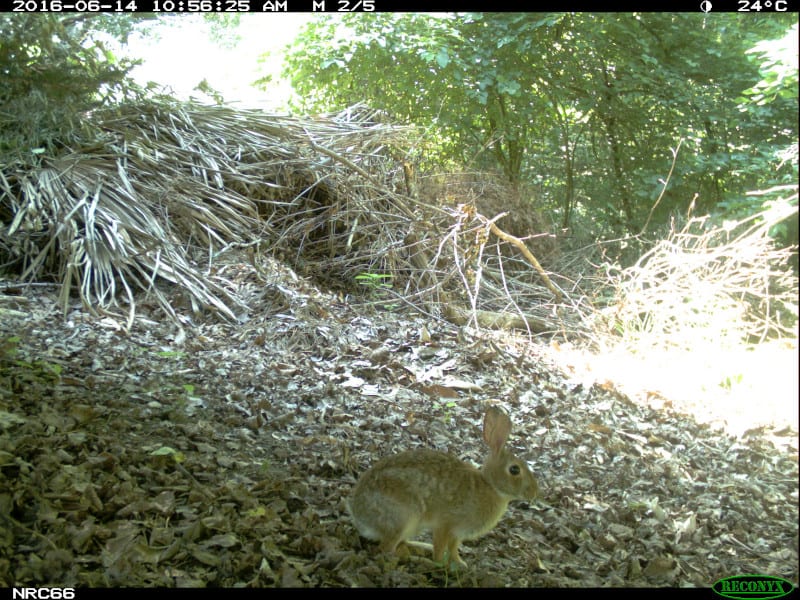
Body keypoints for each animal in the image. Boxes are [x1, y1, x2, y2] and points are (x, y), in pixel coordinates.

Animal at [346, 406, 536, 568]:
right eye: (514, 470)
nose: (534, 492)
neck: (490, 485)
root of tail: (359, 517)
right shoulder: (445, 524)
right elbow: (441, 547)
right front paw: (441, 564)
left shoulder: (457, 533)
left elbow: (453, 548)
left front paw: (460, 564)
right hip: (403, 517)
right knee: (387, 550)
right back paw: (418, 559)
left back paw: (422, 547)